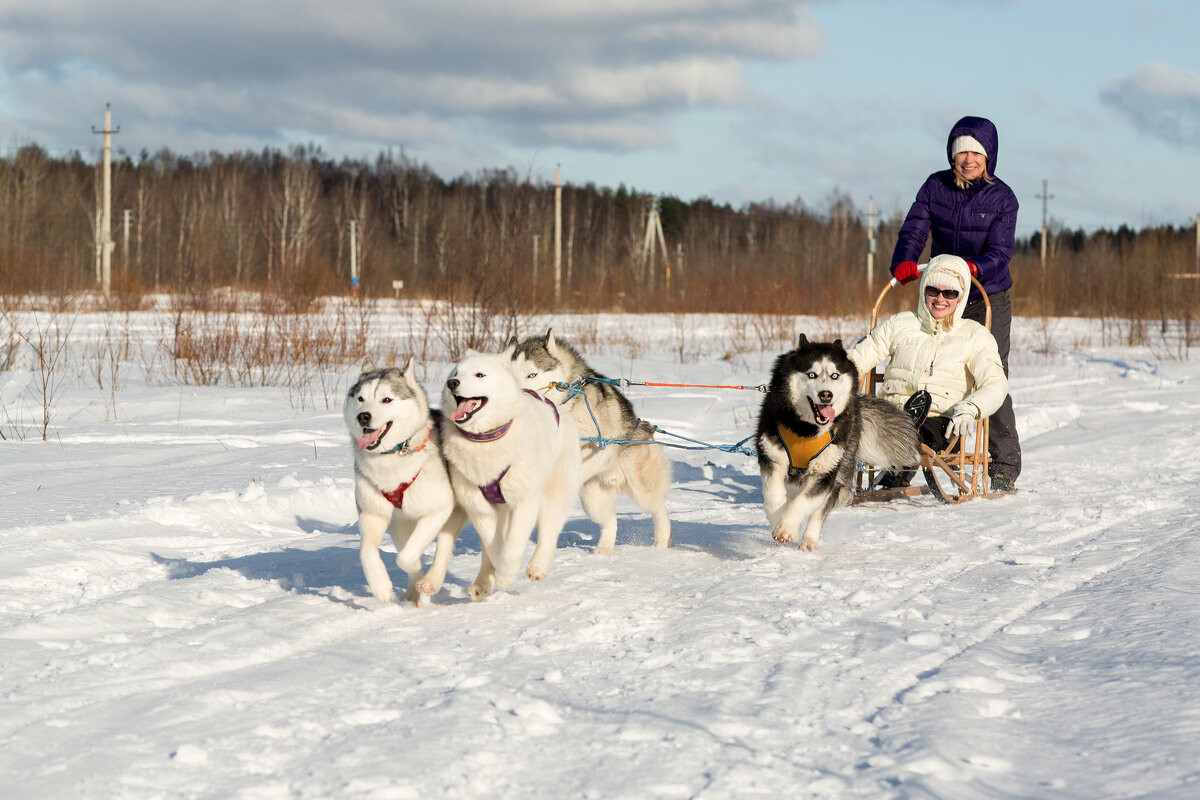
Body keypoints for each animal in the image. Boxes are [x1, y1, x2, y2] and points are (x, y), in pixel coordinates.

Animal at [345, 359, 465, 604]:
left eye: (387, 399)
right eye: (360, 399)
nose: (363, 416)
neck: (393, 456)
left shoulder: (438, 511)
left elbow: (405, 557)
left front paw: (415, 573)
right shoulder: (373, 514)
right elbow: (366, 551)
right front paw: (381, 585)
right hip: (399, 524)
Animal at [446, 347, 585, 597]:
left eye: (479, 375)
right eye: (456, 372)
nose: (452, 383)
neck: (488, 438)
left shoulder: (525, 500)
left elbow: (513, 543)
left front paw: (506, 575)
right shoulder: (477, 503)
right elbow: (492, 543)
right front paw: (495, 570)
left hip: (554, 491)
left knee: (548, 531)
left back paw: (537, 567)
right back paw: (482, 582)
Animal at [508, 328, 672, 554]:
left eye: (532, 374)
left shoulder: (600, 446)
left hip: (644, 489)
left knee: (660, 512)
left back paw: (662, 544)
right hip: (592, 501)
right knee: (611, 521)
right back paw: (603, 551)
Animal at [758, 335, 916, 551]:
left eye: (834, 375)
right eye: (812, 374)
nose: (826, 395)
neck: (806, 430)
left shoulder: (826, 473)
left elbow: (803, 503)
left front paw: (787, 527)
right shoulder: (772, 457)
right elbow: (774, 495)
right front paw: (778, 520)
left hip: (841, 470)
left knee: (819, 511)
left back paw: (809, 540)